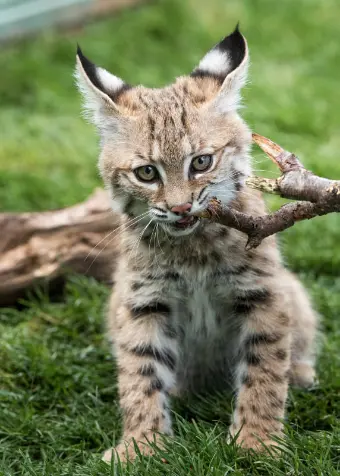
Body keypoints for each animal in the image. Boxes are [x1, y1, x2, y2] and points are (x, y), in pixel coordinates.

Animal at [75, 25, 318, 462]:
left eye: (201, 162)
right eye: (146, 173)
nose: (180, 208)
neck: (193, 248)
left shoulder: (262, 291)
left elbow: (264, 366)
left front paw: (257, 442)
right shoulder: (142, 300)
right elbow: (139, 372)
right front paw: (141, 446)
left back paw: (301, 371)